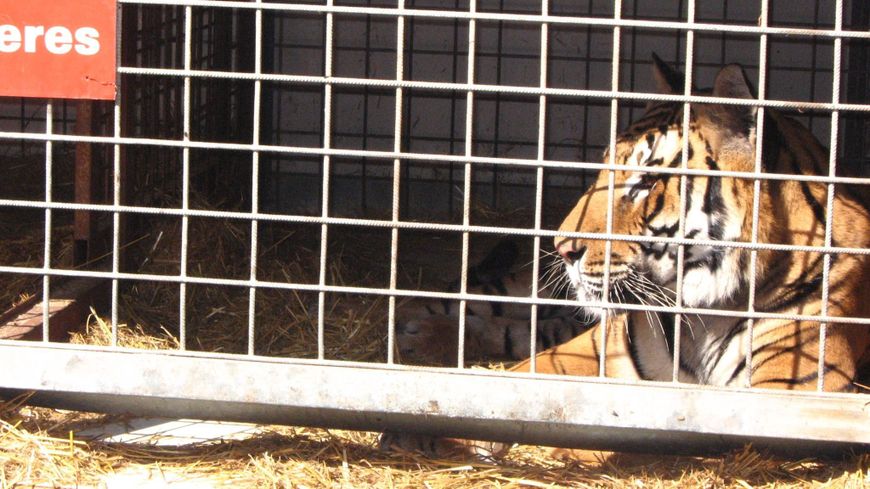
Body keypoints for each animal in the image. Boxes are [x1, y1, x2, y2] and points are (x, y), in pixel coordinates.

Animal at [384, 57, 870, 458]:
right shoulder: (599, 346)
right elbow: (512, 385)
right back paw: (410, 326)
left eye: (644, 183)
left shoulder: (793, 391)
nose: (562, 247)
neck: (705, 312)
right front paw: (418, 421)